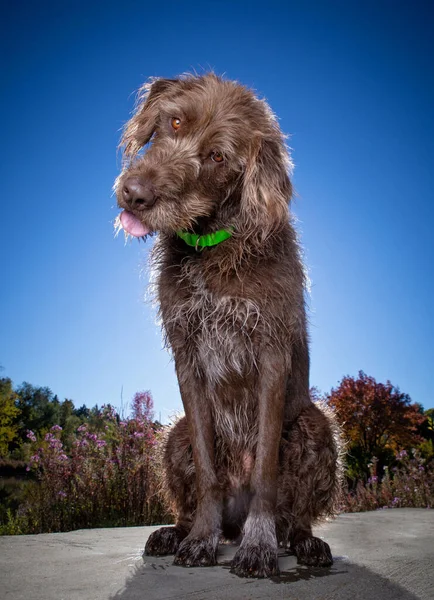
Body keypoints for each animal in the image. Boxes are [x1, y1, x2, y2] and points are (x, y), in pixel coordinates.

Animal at [116, 72, 342, 580]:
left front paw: (258, 548)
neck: (214, 245)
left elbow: (264, 473)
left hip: (316, 426)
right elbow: (207, 470)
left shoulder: (271, 353)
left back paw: (301, 541)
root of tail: (233, 524)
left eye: (218, 157)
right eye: (175, 122)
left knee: (294, 516)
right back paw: (177, 532)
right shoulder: (187, 356)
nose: (134, 193)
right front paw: (200, 538)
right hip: (173, 436)